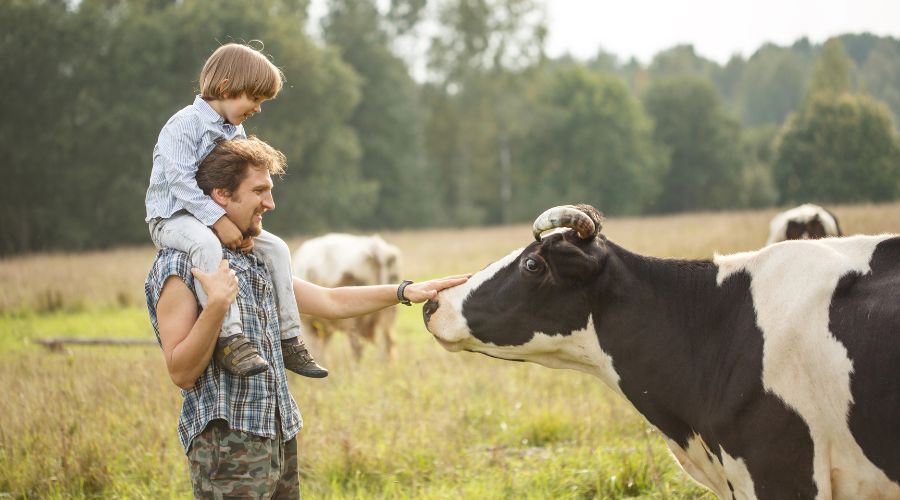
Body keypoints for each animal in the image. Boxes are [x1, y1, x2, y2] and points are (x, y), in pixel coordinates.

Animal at [292, 232, 400, 362]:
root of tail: (375, 246)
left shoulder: (307, 323)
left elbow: (315, 351)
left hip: (353, 320)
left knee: (357, 348)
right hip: (387, 314)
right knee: (388, 344)